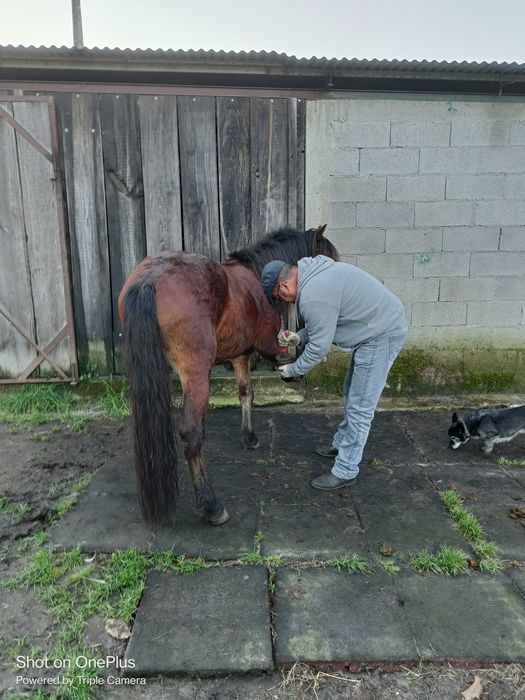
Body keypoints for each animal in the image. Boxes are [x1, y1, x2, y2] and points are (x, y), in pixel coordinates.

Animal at [118, 225, 339, 526]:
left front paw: (249, 437)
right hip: (197, 372)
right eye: (329, 257)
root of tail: (149, 278)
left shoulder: (239, 355)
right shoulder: (263, 346)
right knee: (190, 431)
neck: (256, 275)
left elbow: (245, 392)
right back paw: (211, 505)